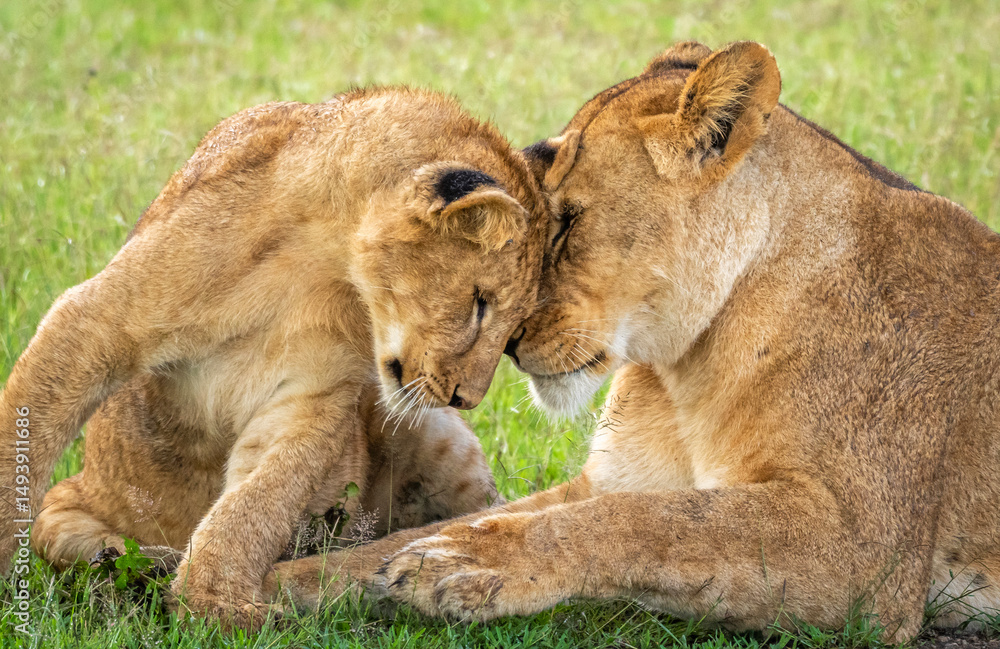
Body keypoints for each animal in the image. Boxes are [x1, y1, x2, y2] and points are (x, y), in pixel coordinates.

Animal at [0, 86, 548, 629]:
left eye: (515, 329)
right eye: (480, 303)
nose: (466, 399)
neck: (324, 260)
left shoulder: (310, 397)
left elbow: (257, 503)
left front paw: (217, 604)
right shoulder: (94, 321)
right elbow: (19, 445)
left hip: (436, 435)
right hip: (72, 501)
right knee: (64, 531)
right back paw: (132, 566)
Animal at [264, 43, 1000, 642]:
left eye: (565, 223)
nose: (507, 346)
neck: (691, 366)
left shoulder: (865, 549)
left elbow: (654, 522)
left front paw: (470, 562)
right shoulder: (616, 474)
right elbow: (436, 531)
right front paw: (277, 581)